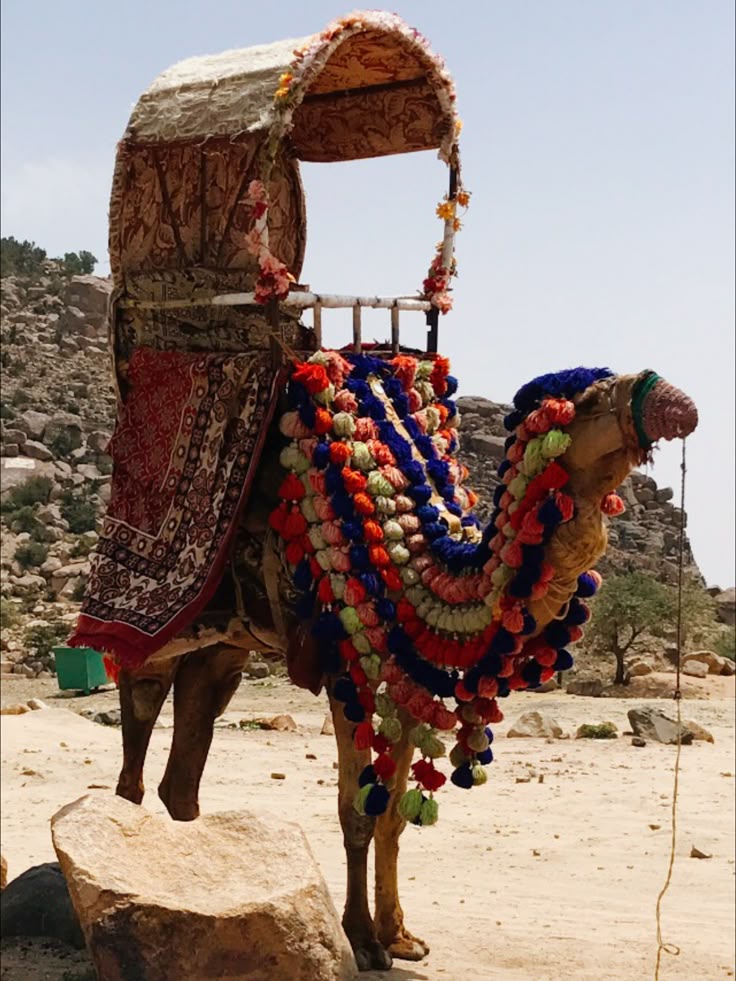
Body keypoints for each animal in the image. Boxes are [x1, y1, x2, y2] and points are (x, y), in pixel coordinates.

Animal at [102, 353, 697, 972]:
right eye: (591, 399)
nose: (674, 401)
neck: (427, 565)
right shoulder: (347, 674)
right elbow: (357, 812)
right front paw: (363, 942)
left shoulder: (411, 683)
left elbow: (391, 816)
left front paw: (399, 935)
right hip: (167, 626)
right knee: (140, 707)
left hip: (226, 642)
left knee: (189, 747)